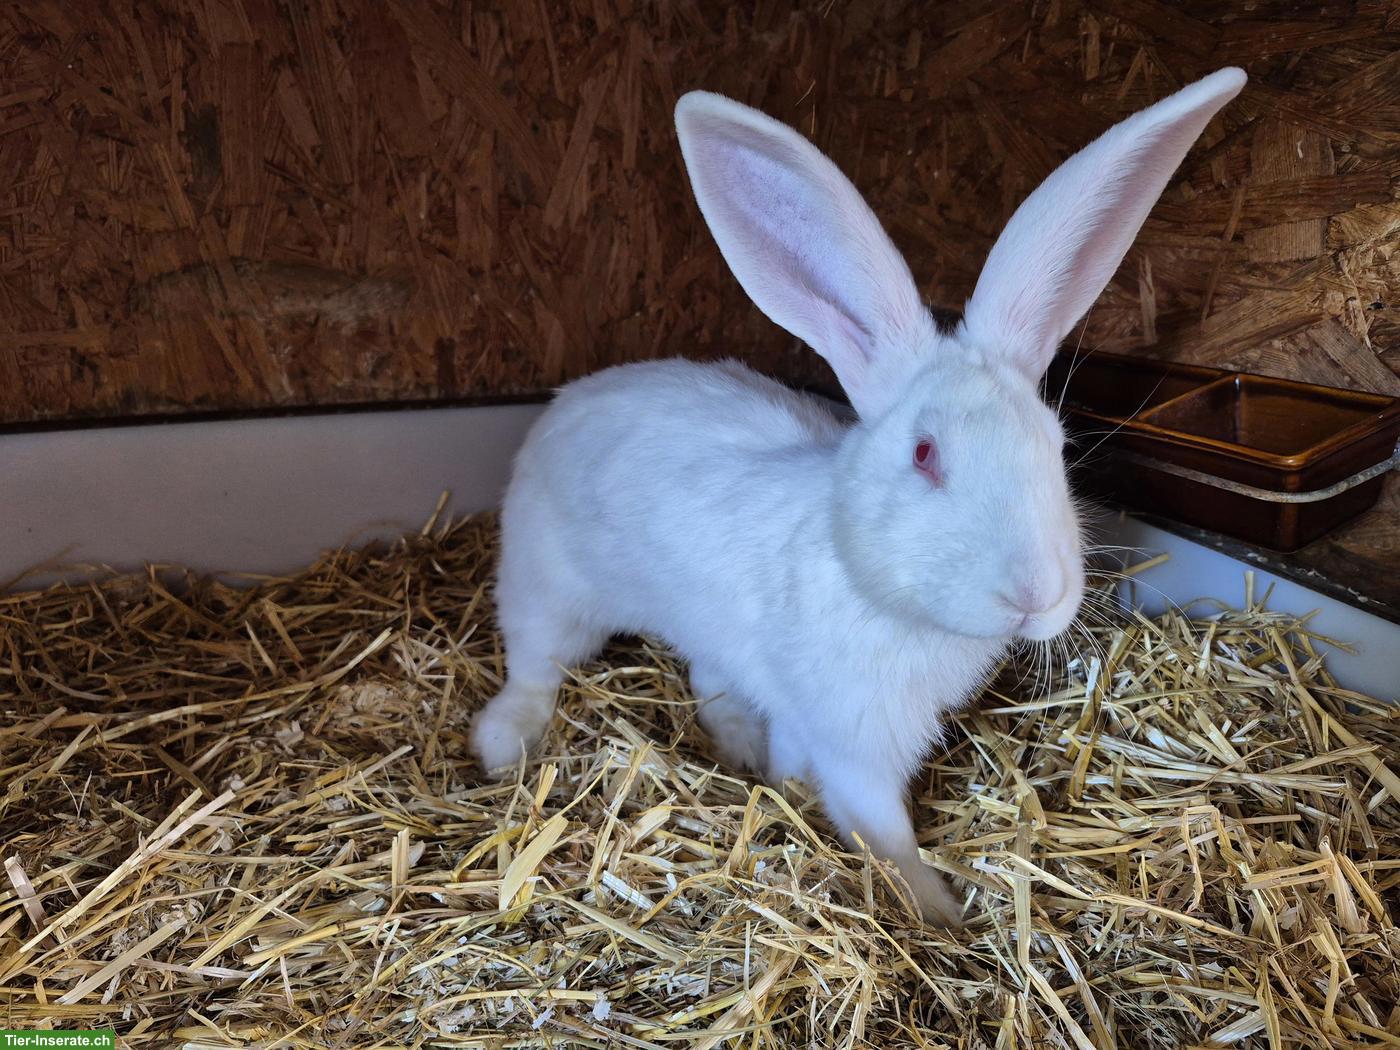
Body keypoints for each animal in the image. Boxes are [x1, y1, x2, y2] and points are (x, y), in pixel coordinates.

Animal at [472, 68, 1246, 926]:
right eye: (925, 454)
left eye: (1059, 446)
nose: (1036, 595)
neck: (873, 588)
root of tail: (568, 400)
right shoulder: (856, 742)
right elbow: (882, 829)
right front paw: (942, 914)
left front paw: (780, 782)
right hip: (548, 587)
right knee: (534, 666)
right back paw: (502, 746)